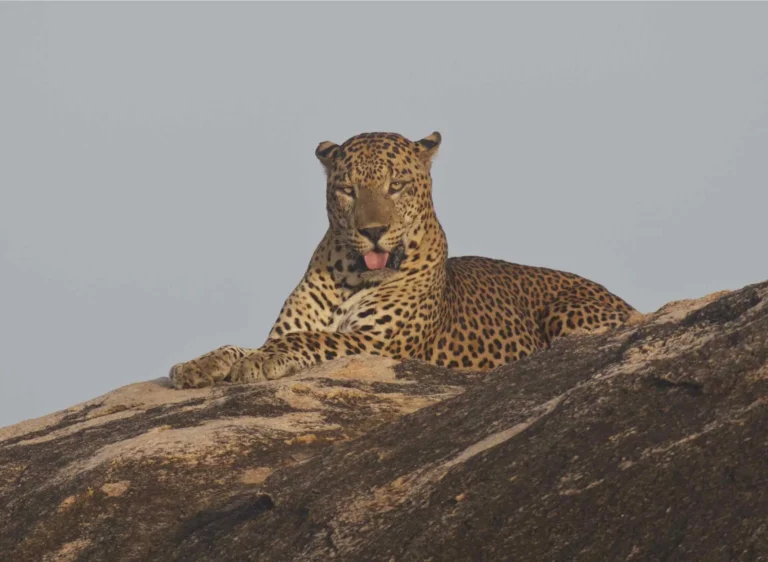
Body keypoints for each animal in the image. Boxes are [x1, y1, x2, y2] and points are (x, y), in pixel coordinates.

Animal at [170, 131, 641, 389]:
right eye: (348, 190)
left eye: (396, 186)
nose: (373, 231)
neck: (351, 275)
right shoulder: (292, 328)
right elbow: (244, 343)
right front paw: (197, 365)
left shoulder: (378, 344)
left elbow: (307, 339)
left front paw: (257, 362)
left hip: (569, 311)